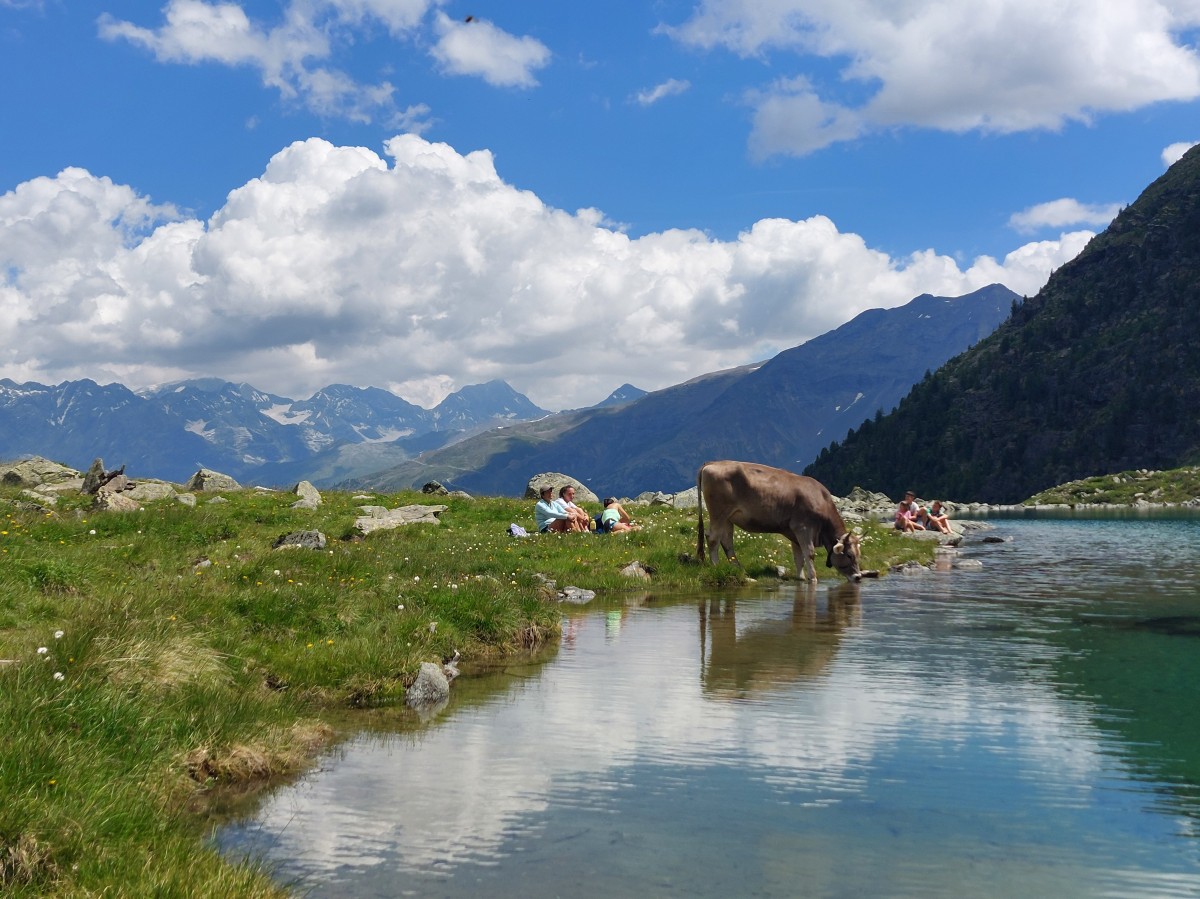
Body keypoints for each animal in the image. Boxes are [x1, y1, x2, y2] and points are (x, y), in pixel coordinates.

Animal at [696, 463, 864, 583]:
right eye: (849, 555)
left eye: (859, 555)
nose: (858, 577)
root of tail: (713, 463)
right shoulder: (803, 527)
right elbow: (809, 554)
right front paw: (813, 578)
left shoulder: (795, 532)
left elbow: (798, 557)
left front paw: (801, 577)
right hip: (718, 513)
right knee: (712, 538)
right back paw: (716, 566)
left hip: (728, 517)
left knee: (727, 542)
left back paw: (739, 568)